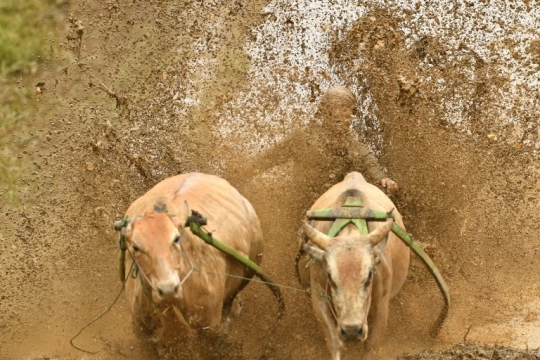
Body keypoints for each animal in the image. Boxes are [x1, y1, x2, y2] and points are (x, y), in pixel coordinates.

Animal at [296, 172, 410, 360]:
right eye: (330, 276)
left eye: (370, 274)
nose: (351, 331)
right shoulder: (319, 296)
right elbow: (335, 343)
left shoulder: (381, 307)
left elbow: (371, 347)